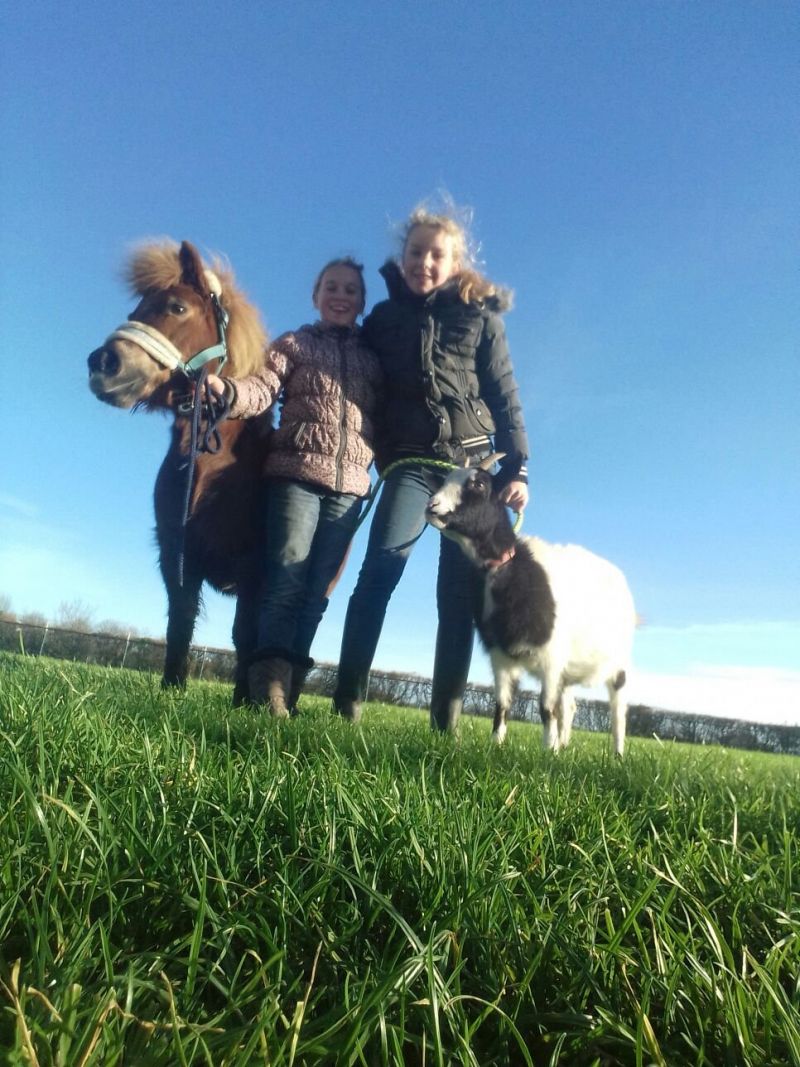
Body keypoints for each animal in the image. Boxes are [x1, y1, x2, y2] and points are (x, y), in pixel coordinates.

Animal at [89, 244, 273, 704]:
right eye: (136, 309)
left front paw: (242, 703)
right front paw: (171, 689)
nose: (103, 363)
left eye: (177, 307)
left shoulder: (253, 567)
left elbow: (244, 633)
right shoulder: (177, 552)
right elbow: (181, 618)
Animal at [426, 458, 640, 759]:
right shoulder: (501, 656)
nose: (432, 506)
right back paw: (564, 745)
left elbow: (545, 708)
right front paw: (497, 745)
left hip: (617, 660)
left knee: (618, 709)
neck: (508, 569)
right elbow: (502, 704)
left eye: (479, 484)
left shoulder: (551, 656)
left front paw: (547, 754)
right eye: (445, 480)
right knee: (570, 706)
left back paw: (617, 755)